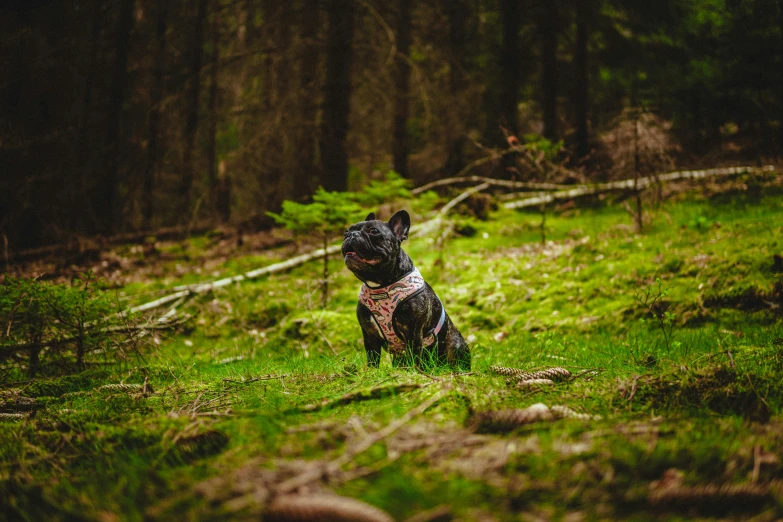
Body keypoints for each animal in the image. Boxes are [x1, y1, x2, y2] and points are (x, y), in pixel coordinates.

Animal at [344, 209, 472, 368]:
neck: (380, 286)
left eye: (373, 231)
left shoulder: (413, 332)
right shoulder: (369, 334)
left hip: (456, 346)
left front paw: (413, 371)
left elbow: (414, 357)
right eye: (346, 232)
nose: (351, 235)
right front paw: (371, 372)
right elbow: (373, 359)